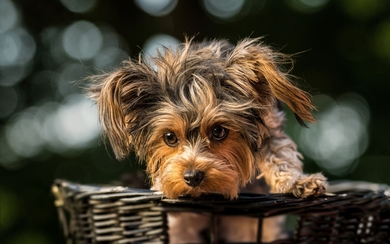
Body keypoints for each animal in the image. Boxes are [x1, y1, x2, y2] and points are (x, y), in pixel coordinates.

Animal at [87, 37, 326, 243]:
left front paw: (299, 182)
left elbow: (280, 156)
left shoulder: (270, 126)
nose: (192, 177)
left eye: (219, 131)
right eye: (169, 137)